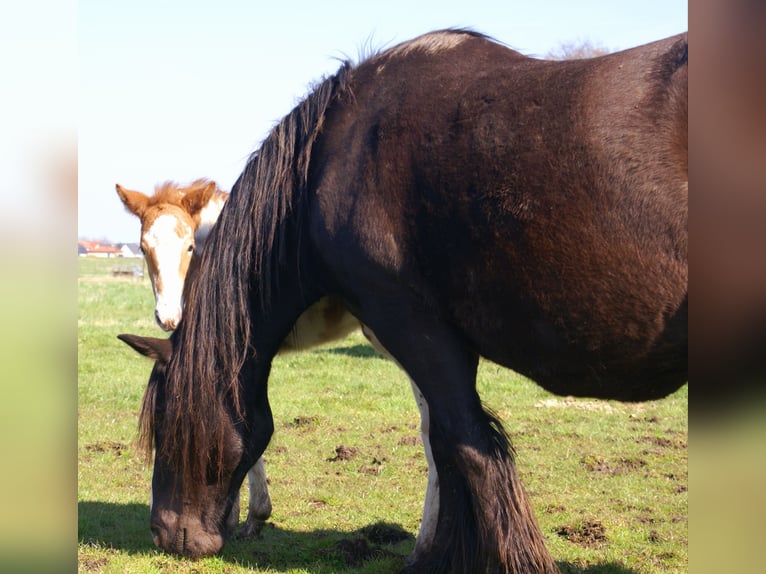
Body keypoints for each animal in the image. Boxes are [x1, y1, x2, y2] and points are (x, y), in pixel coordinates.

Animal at [119, 29, 687, 573]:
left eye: (164, 424)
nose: (165, 534)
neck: (330, 160)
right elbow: (448, 444)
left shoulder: (412, 323)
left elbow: (467, 447)